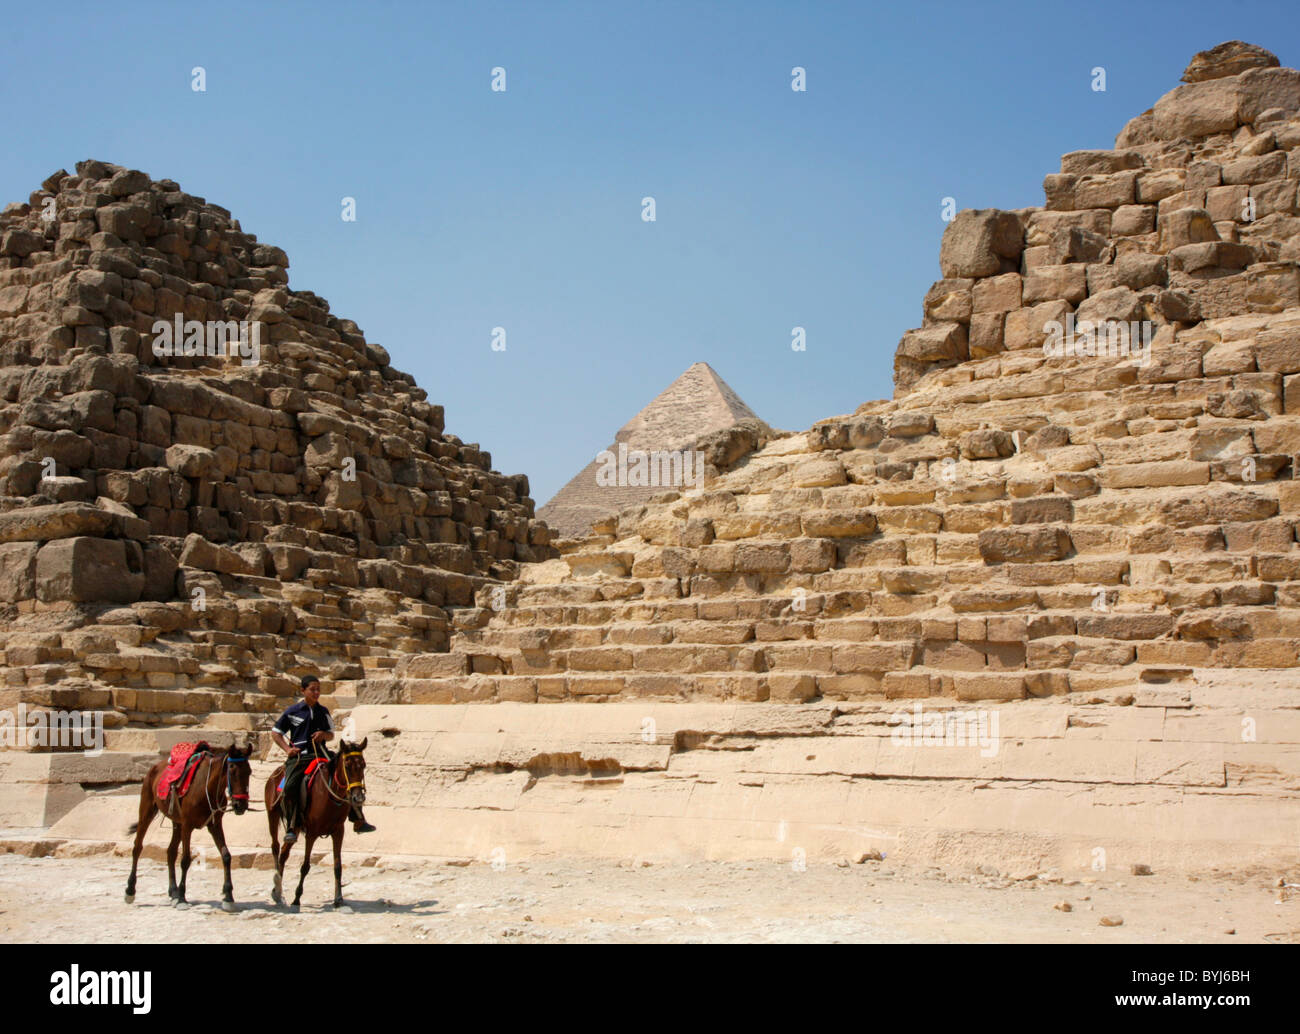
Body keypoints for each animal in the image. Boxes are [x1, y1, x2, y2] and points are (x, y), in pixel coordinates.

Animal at [124, 738, 253, 910]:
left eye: (249, 772)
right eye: (232, 771)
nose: (241, 805)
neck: (207, 788)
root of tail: (155, 767)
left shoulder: (215, 825)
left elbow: (226, 855)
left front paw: (228, 896)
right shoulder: (187, 826)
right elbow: (185, 860)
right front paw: (182, 898)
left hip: (176, 823)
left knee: (170, 852)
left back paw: (173, 891)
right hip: (147, 811)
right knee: (137, 847)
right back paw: (130, 890)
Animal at [263, 733, 366, 915]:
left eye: (364, 766)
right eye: (347, 766)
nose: (357, 798)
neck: (329, 795)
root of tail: (277, 772)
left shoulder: (338, 831)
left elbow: (338, 866)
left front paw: (339, 900)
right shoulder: (311, 833)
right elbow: (305, 866)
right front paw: (296, 899)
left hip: (295, 826)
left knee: (284, 852)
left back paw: (278, 891)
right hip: (273, 814)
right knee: (275, 847)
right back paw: (277, 887)